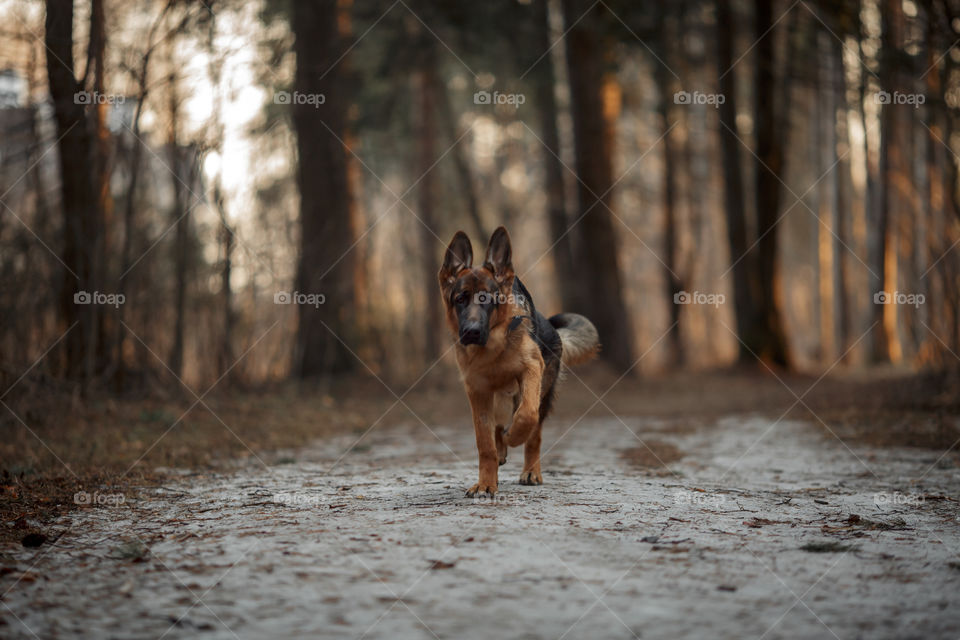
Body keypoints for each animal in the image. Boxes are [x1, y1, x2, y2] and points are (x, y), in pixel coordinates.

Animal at [436, 228, 600, 498]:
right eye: (460, 299)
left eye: (487, 300)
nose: (471, 332)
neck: (493, 350)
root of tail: (552, 330)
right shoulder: (477, 392)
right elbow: (484, 443)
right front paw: (486, 483)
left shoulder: (531, 371)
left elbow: (526, 416)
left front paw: (513, 436)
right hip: (498, 397)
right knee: (498, 425)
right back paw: (501, 450)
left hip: (540, 392)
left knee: (533, 434)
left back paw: (530, 470)